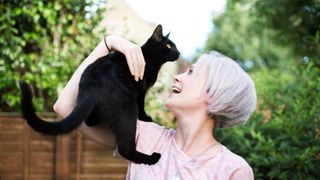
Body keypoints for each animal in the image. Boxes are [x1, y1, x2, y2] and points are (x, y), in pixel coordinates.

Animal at [19, 25, 180, 165]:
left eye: (175, 46)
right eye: (169, 46)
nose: (178, 52)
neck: (151, 59)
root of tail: (91, 84)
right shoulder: (141, 90)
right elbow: (142, 106)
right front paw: (146, 118)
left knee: (90, 122)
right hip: (128, 108)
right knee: (125, 149)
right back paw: (152, 158)